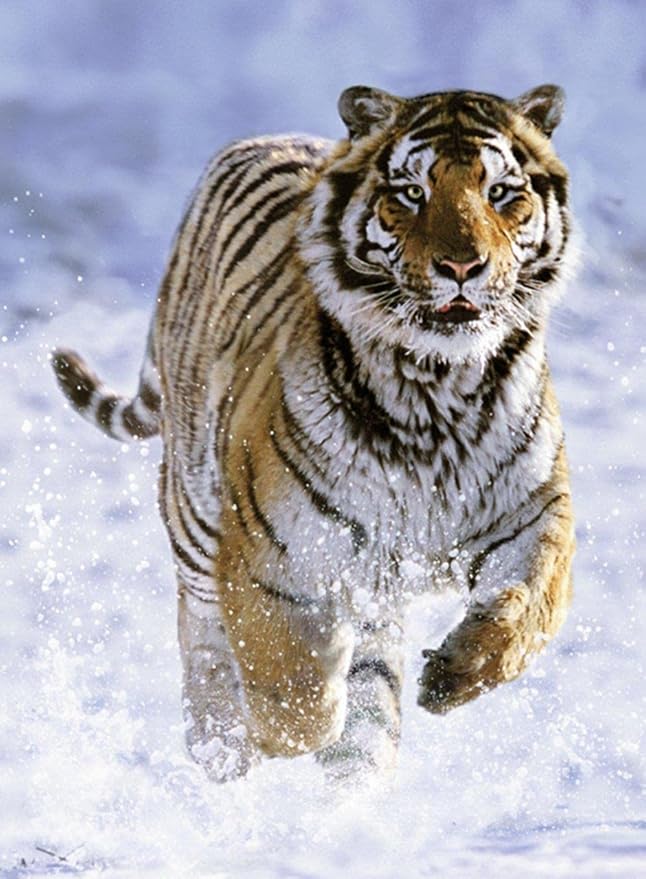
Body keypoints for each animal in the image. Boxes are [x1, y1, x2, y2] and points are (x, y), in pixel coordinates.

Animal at [52, 84, 576, 782]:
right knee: (203, 640)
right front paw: (273, 731)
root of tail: (261, 138)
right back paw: (221, 748)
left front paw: (454, 675)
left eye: (499, 193)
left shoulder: (535, 513)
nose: (463, 266)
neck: (435, 389)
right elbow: (294, 697)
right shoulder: (269, 556)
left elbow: (531, 606)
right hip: (195, 518)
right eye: (412, 193)